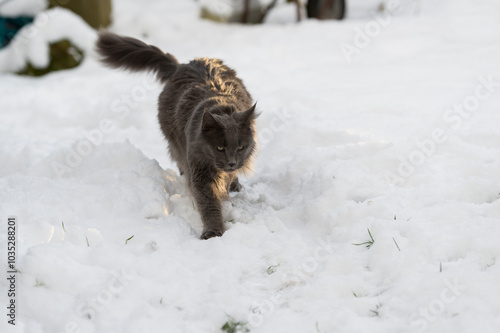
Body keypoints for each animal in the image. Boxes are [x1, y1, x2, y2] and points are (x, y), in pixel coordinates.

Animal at [95, 31, 258, 239]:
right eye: (220, 148)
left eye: (240, 147)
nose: (231, 162)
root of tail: (181, 66)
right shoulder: (200, 171)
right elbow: (209, 204)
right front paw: (213, 232)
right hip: (175, 141)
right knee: (180, 160)